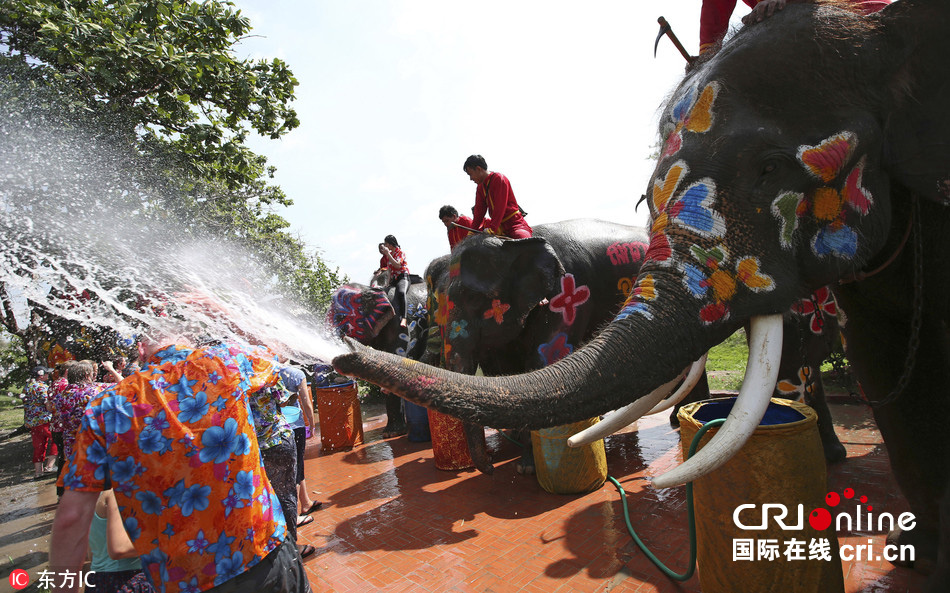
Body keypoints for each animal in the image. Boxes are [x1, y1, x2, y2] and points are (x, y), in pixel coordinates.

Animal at [426, 220, 656, 474]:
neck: (513, 243)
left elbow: (544, 361)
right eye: (435, 310)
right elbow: (508, 371)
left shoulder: (569, 294)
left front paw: (526, 468)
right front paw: (521, 451)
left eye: (474, 299)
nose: (491, 465)